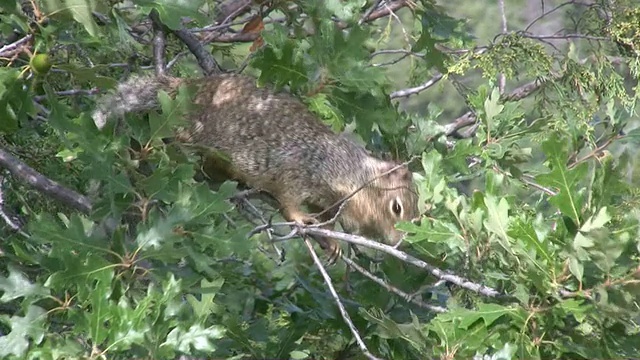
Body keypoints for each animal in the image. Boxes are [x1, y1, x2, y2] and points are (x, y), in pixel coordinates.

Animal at [91, 73, 420, 262]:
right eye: (397, 208)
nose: (400, 242)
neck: (352, 173)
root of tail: (185, 88)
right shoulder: (302, 168)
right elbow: (288, 198)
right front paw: (300, 218)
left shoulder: (327, 202)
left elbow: (327, 223)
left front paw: (331, 243)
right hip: (196, 136)